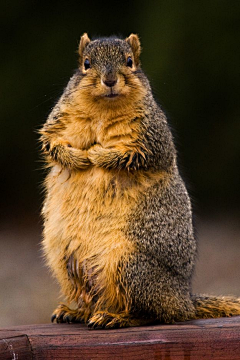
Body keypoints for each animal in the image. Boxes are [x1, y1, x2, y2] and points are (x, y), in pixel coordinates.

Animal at [39, 33, 240, 330]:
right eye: (86, 64)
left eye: (130, 61)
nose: (110, 80)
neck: (103, 109)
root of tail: (184, 298)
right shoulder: (56, 124)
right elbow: (51, 144)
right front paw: (76, 158)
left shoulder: (154, 139)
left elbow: (134, 156)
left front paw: (98, 154)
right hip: (69, 263)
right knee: (95, 299)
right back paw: (77, 313)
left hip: (131, 266)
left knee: (155, 313)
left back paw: (116, 317)